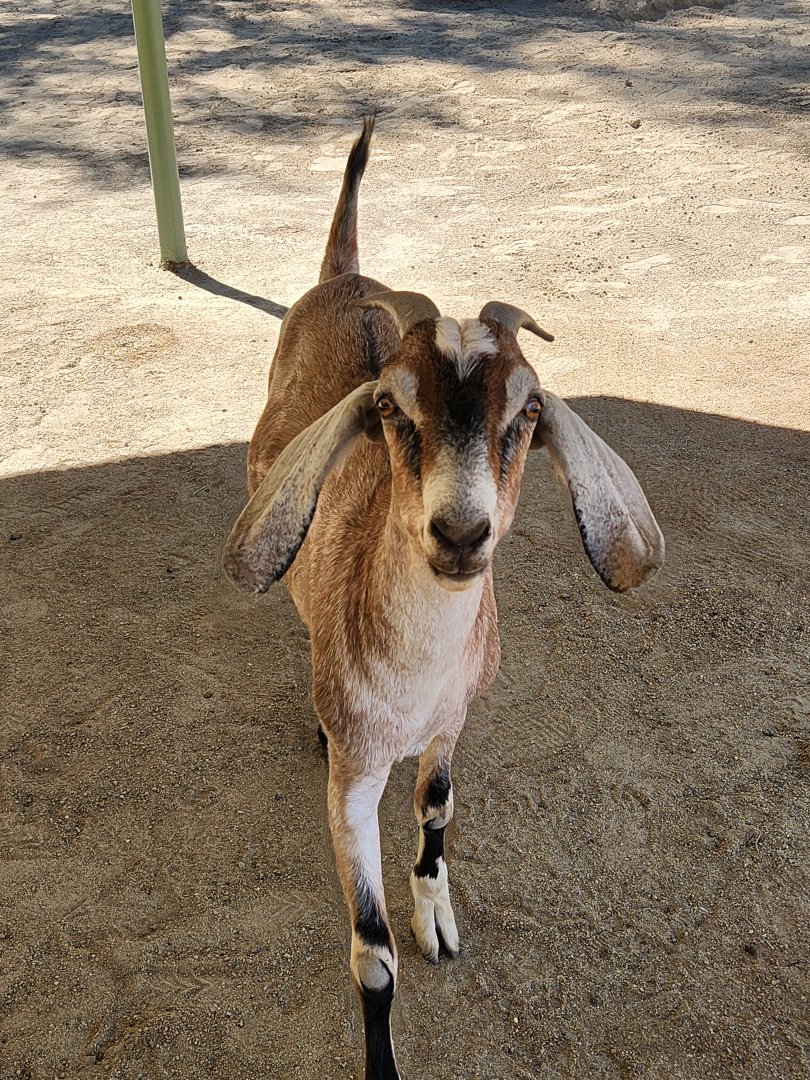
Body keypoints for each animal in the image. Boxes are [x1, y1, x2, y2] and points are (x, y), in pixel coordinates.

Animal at [224, 115, 664, 1080]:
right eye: (390, 408)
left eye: (528, 414)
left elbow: (436, 808)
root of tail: (343, 276)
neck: (414, 679)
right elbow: (371, 956)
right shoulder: (355, 778)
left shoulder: (456, 717)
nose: (461, 533)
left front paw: (436, 911)